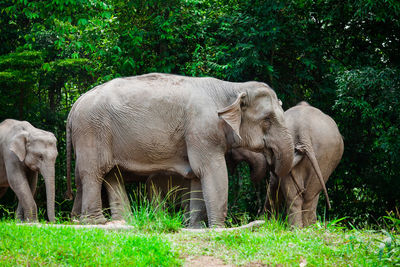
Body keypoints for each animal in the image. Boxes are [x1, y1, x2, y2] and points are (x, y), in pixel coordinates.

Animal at [64, 74, 292, 228]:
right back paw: (97, 223)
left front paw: (195, 228)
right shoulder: (201, 129)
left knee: (96, 175)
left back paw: (80, 221)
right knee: (93, 172)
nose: (264, 217)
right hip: (92, 129)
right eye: (267, 120)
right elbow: (211, 171)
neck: (232, 87)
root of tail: (75, 103)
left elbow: (198, 177)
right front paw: (217, 228)